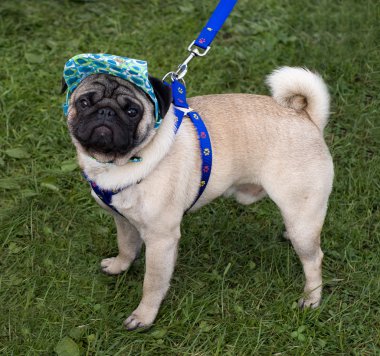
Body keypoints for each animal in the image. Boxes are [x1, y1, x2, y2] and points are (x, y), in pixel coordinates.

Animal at [64, 65, 332, 330]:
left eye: (132, 111)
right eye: (84, 103)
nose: (106, 112)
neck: (115, 164)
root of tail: (307, 117)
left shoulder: (161, 239)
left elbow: (153, 282)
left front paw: (144, 316)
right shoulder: (123, 220)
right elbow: (126, 246)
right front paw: (119, 266)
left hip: (301, 217)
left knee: (313, 259)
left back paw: (311, 298)